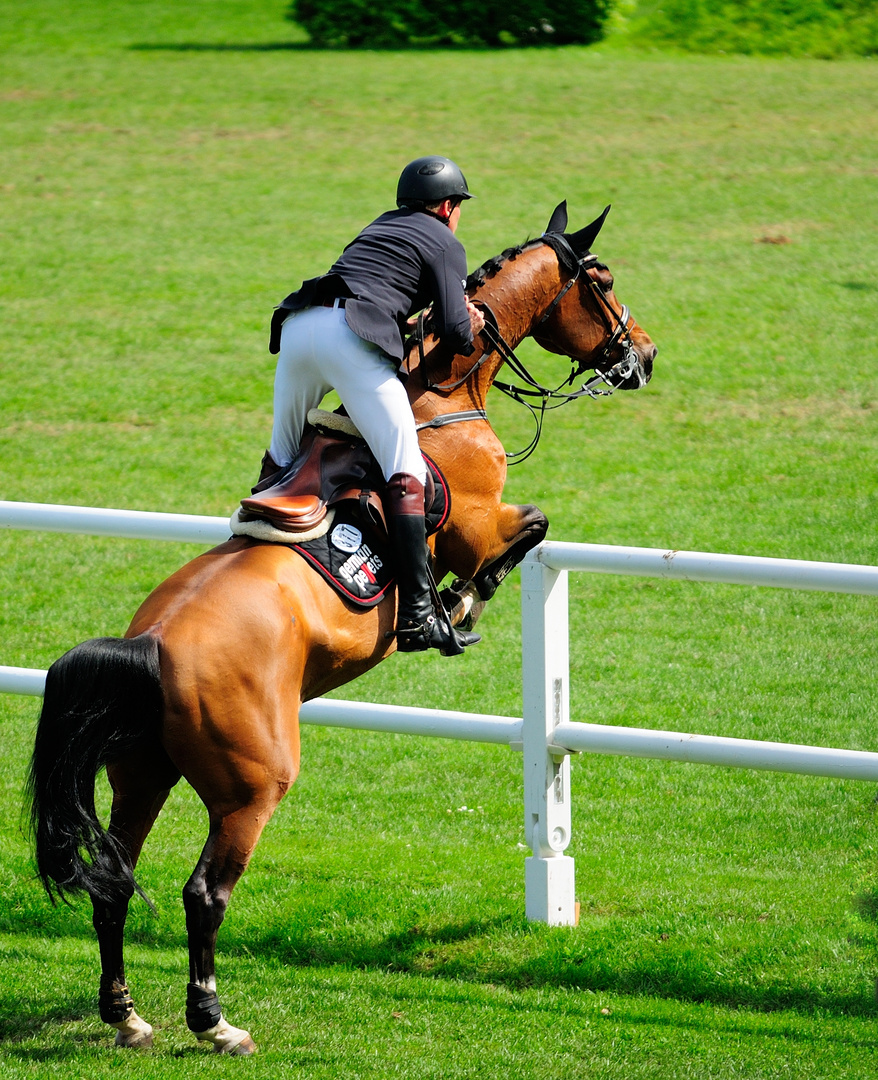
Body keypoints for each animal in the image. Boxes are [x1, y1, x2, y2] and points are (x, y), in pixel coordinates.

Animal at [27, 203, 652, 1054]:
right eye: (604, 281)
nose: (643, 356)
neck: (439, 392)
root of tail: (148, 646)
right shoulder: (480, 524)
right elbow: (525, 532)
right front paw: (452, 610)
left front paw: (452, 608)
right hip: (251, 786)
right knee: (204, 893)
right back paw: (215, 1022)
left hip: (142, 774)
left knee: (115, 881)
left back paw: (126, 1016)